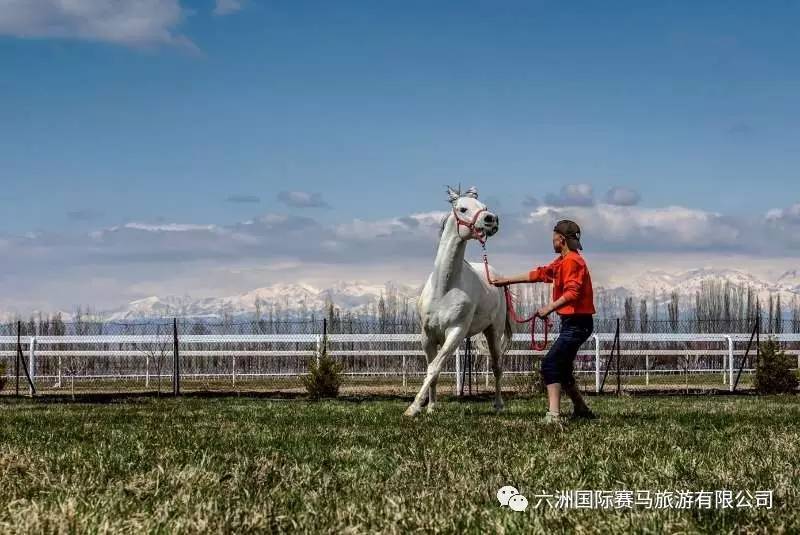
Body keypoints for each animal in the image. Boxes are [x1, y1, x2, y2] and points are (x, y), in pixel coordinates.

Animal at [404, 188, 516, 418]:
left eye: (484, 206)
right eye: (462, 208)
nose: (492, 220)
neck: (444, 288)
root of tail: (498, 278)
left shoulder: (455, 333)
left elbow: (435, 367)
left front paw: (414, 407)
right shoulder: (427, 336)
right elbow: (432, 370)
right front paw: (431, 407)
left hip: (494, 331)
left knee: (497, 367)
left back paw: (498, 404)